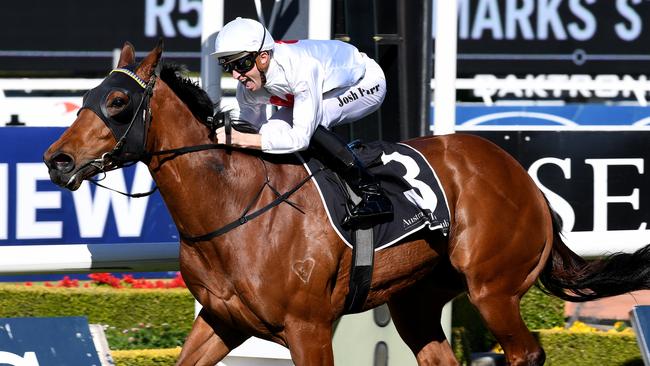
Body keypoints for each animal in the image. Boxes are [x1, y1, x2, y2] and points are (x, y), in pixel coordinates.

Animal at [43, 41, 648, 364]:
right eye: (88, 97)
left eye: (117, 101)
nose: (57, 159)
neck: (234, 208)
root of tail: (523, 178)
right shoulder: (222, 320)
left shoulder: (308, 328)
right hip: (416, 301)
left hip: (493, 288)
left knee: (525, 351)